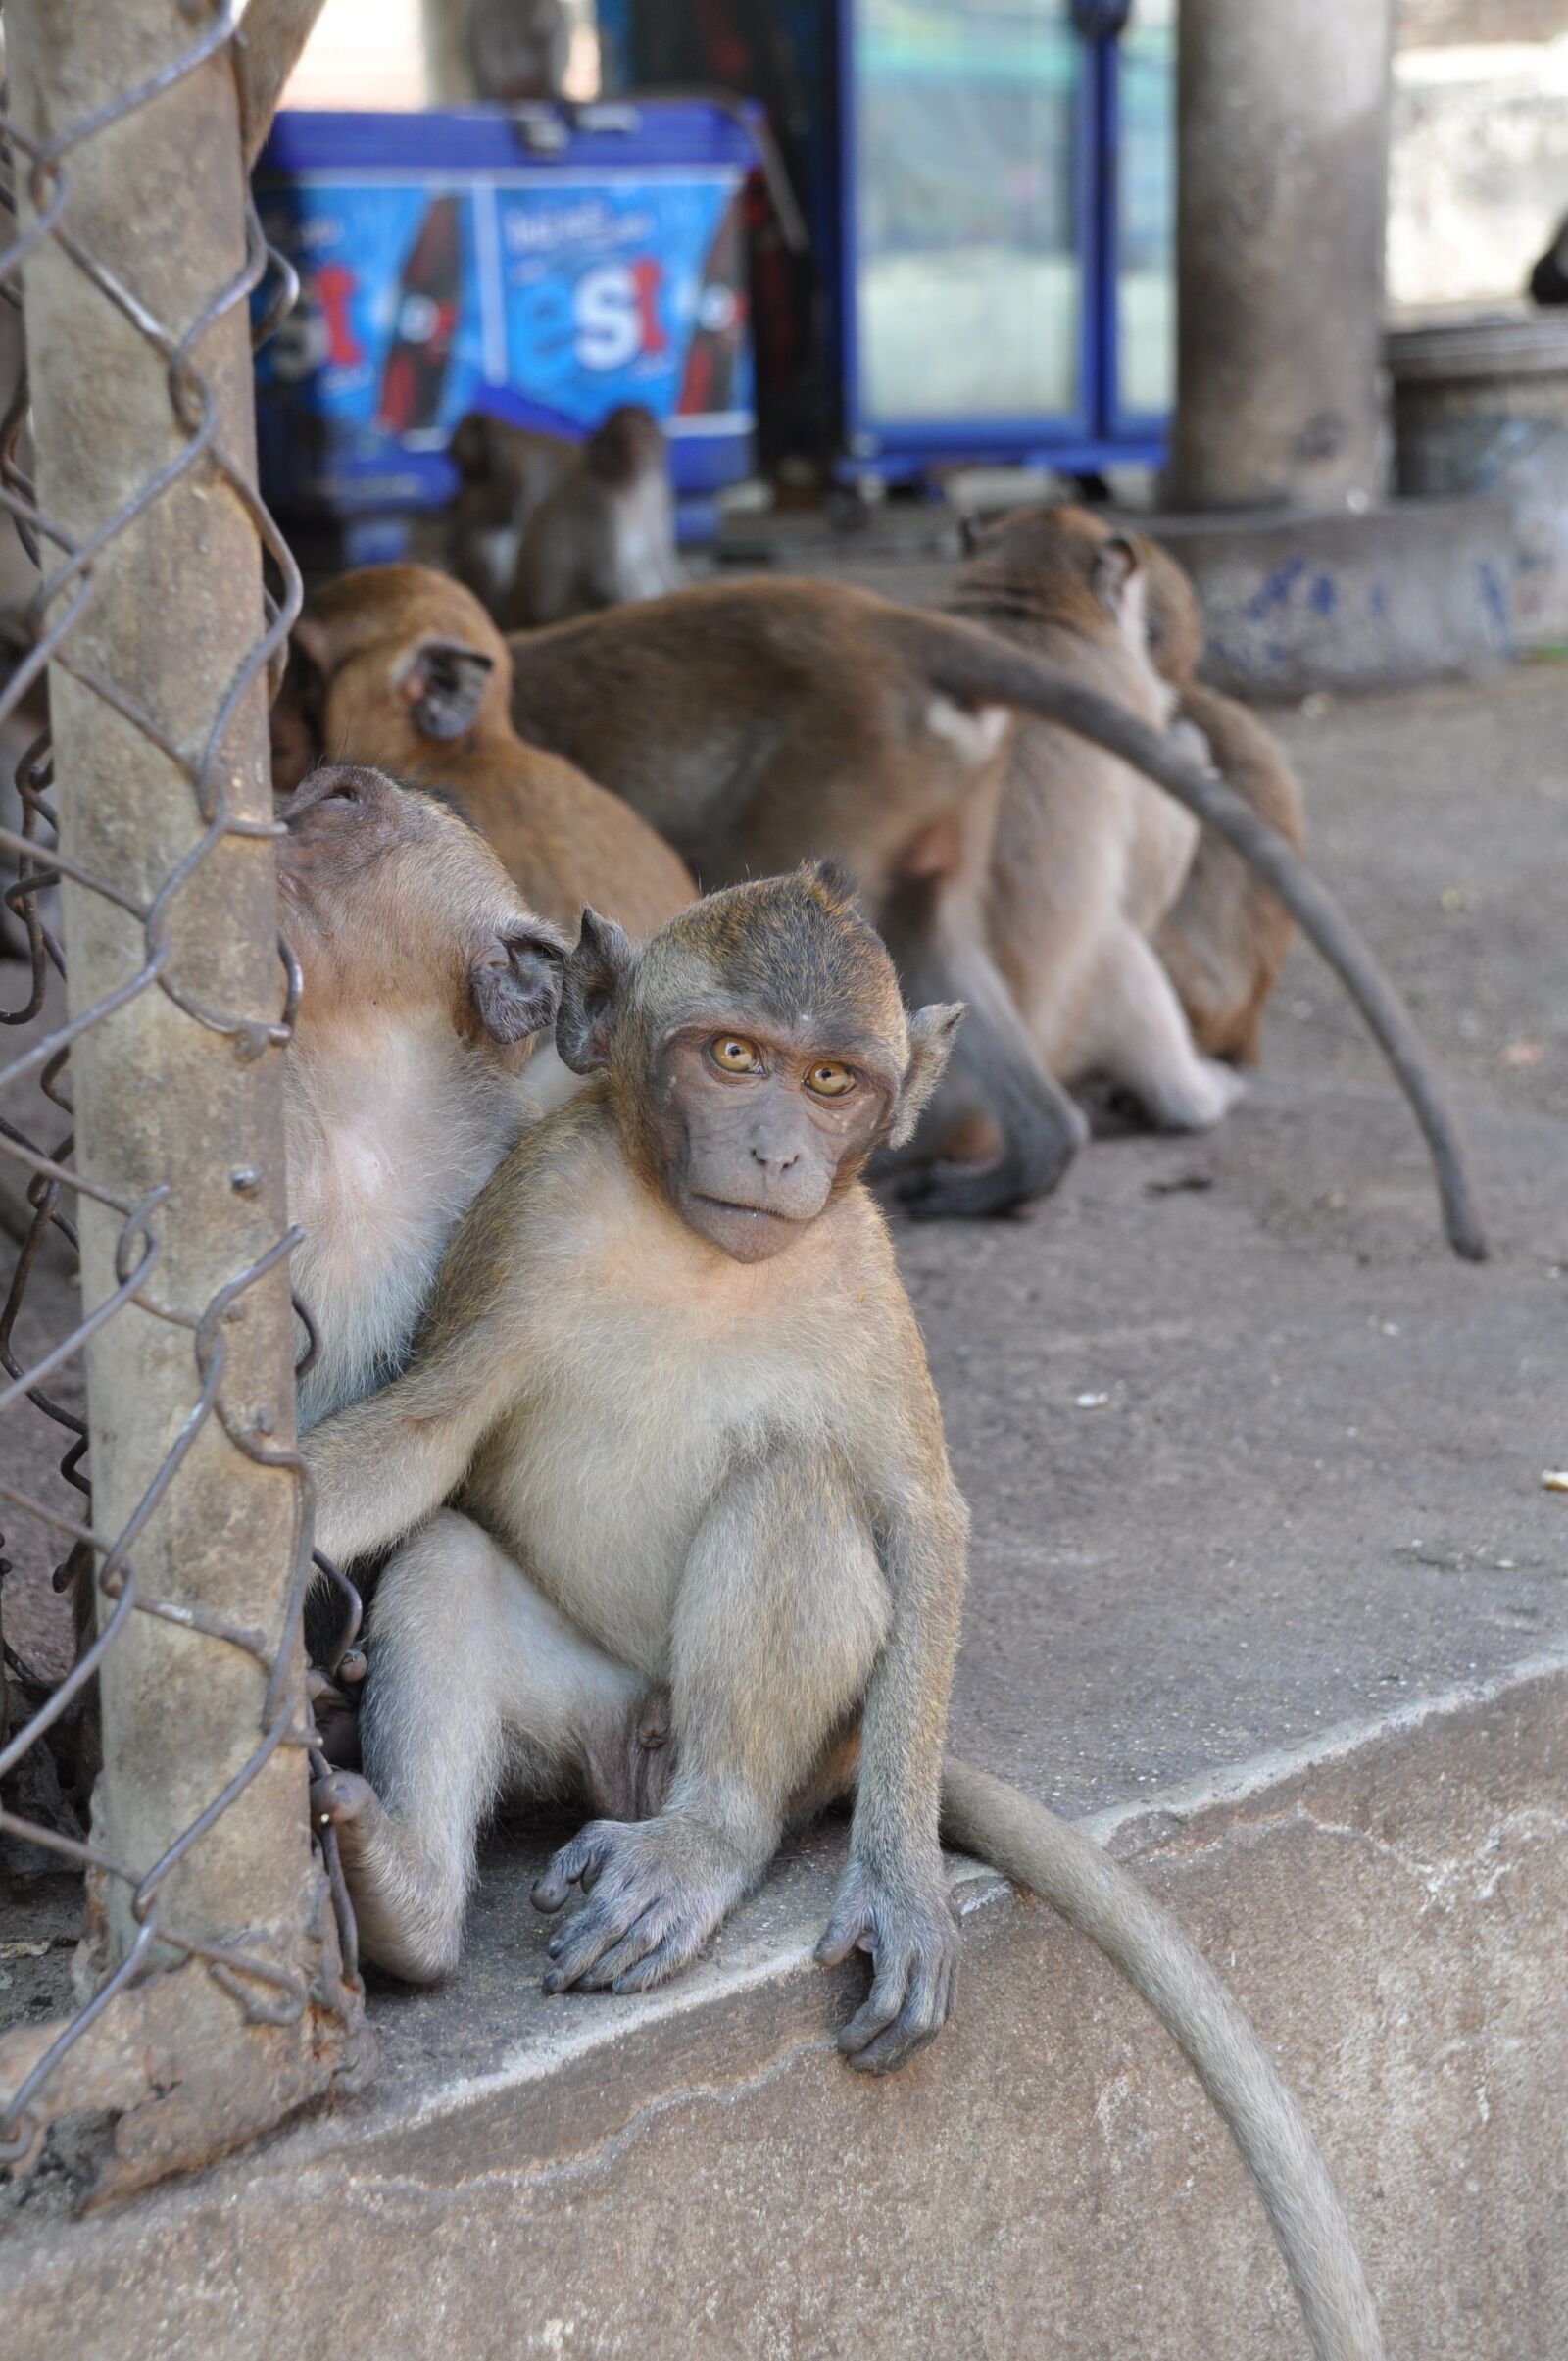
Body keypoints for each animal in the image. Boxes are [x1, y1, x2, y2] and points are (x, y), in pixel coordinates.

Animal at [305, 874, 1383, 2361]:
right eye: (733, 1057)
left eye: (830, 1082)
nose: (774, 1153)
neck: (693, 1249)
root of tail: (641, 1754)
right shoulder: (529, 1217)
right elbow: (421, 1450)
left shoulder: (865, 1270)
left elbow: (923, 1523)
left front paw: (900, 1885)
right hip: (583, 1708)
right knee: (457, 1563)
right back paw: (407, 1898)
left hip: (803, 1741)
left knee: (796, 1490)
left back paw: (701, 1843)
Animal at [504, 405, 682, 630]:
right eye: (621, 436)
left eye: (643, 430)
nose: (633, 447)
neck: (629, 485)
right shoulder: (597, 504)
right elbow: (604, 578)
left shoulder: (658, 495)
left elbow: (662, 561)